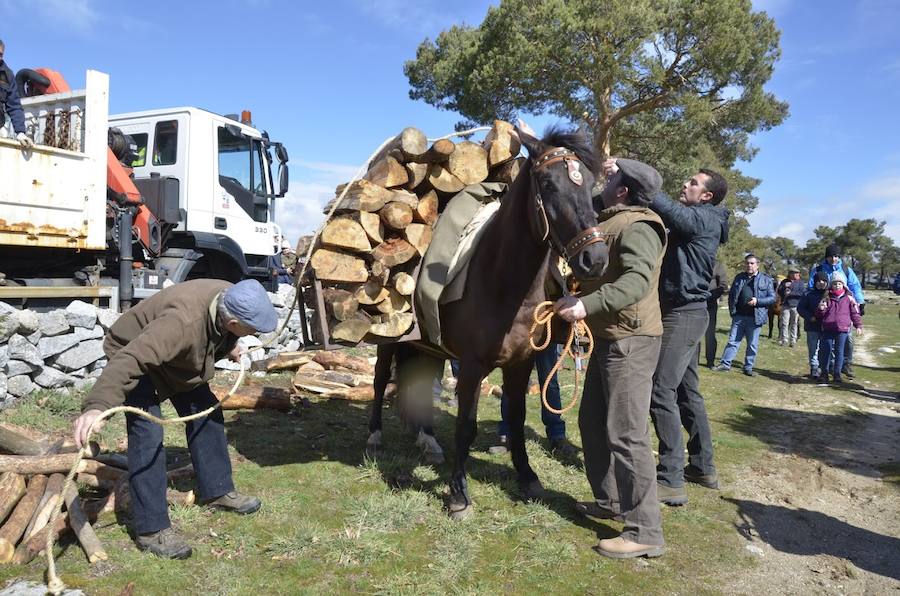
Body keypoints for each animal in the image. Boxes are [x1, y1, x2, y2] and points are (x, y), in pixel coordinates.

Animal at [366, 128, 604, 520]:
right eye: (548, 185)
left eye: (590, 186)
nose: (594, 259)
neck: (500, 281)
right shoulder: (473, 366)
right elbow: (466, 426)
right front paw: (458, 494)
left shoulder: (521, 364)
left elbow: (518, 418)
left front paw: (527, 477)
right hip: (389, 342)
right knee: (380, 380)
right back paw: (375, 435)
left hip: (428, 347)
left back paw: (427, 439)